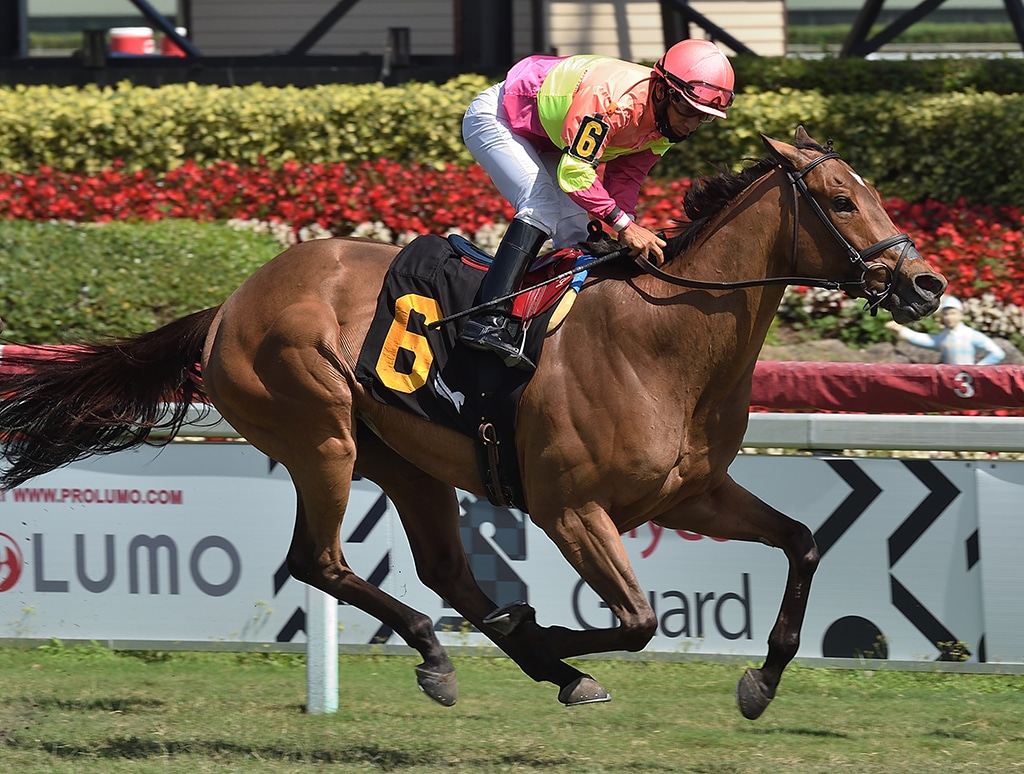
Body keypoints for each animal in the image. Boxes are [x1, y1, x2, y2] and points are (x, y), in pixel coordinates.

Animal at [0, 128, 942, 720]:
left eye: (871, 191)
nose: (925, 285)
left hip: (404, 460)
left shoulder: (692, 495)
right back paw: (485, 651)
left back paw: (511, 660)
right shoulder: (570, 509)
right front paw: (545, 630)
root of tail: (230, 304)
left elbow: (804, 543)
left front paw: (762, 680)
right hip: (321, 435)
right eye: (839, 200)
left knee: (444, 569)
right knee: (320, 560)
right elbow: (639, 620)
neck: (661, 338)